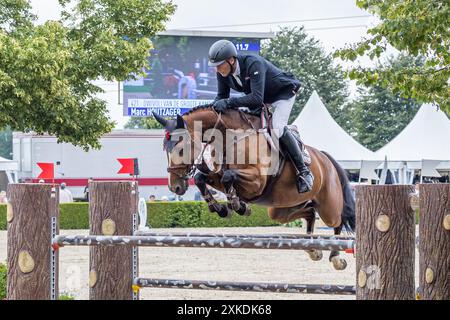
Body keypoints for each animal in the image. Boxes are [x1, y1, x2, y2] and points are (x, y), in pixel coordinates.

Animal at [155, 105, 356, 270]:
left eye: (181, 149)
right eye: (165, 149)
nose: (175, 187)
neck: (231, 139)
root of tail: (325, 158)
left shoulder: (256, 182)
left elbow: (229, 177)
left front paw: (238, 206)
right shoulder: (217, 175)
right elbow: (201, 178)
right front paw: (222, 208)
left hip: (328, 207)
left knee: (337, 222)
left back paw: (336, 257)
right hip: (280, 209)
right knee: (309, 213)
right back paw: (313, 249)